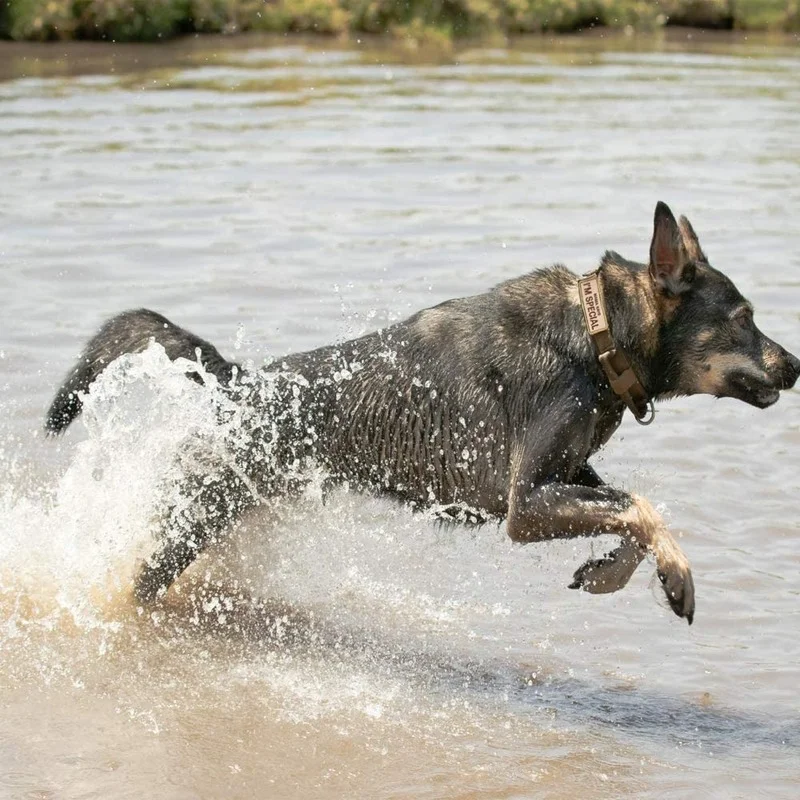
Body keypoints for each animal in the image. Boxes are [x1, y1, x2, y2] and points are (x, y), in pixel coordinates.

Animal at [47, 202, 796, 624]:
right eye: (744, 319)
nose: (795, 365)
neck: (597, 333)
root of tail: (240, 382)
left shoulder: (566, 476)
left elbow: (631, 514)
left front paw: (613, 574)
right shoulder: (526, 505)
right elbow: (642, 507)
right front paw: (677, 575)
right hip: (192, 521)